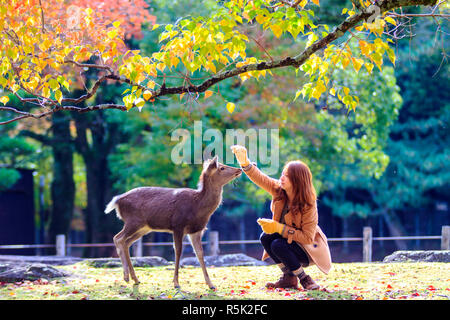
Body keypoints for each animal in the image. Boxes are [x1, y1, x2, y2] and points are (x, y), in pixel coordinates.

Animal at [104, 156, 243, 290]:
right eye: (222, 168)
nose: (239, 169)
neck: (197, 205)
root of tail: (117, 201)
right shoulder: (177, 225)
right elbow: (178, 251)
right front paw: (176, 283)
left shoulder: (196, 230)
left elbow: (200, 253)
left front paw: (211, 284)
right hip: (133, 221)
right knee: (118, 238)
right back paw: (126, 276)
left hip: (144, 227)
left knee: (126, 242)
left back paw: (135, 278)